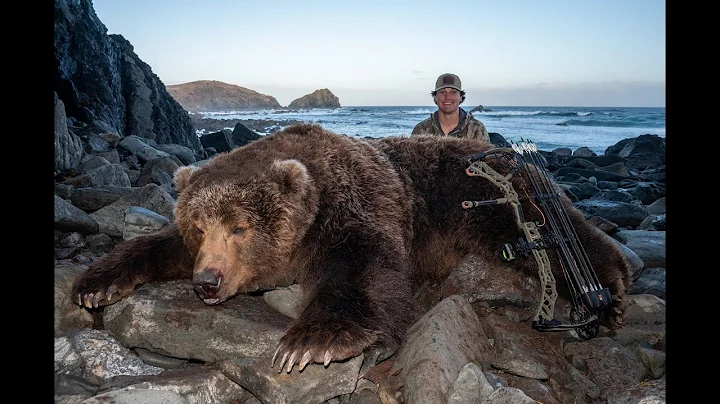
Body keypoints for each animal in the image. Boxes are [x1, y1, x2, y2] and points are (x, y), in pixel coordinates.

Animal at [72, 123, 632, 373]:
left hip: (487, 198)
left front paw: (309, 341)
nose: (207, 283)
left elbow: (363, 267)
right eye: (199, 226)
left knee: (551, 233)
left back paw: (607, 295)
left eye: (239, 227)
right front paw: (94, 284)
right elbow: (156, 246)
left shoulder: (355, 204)